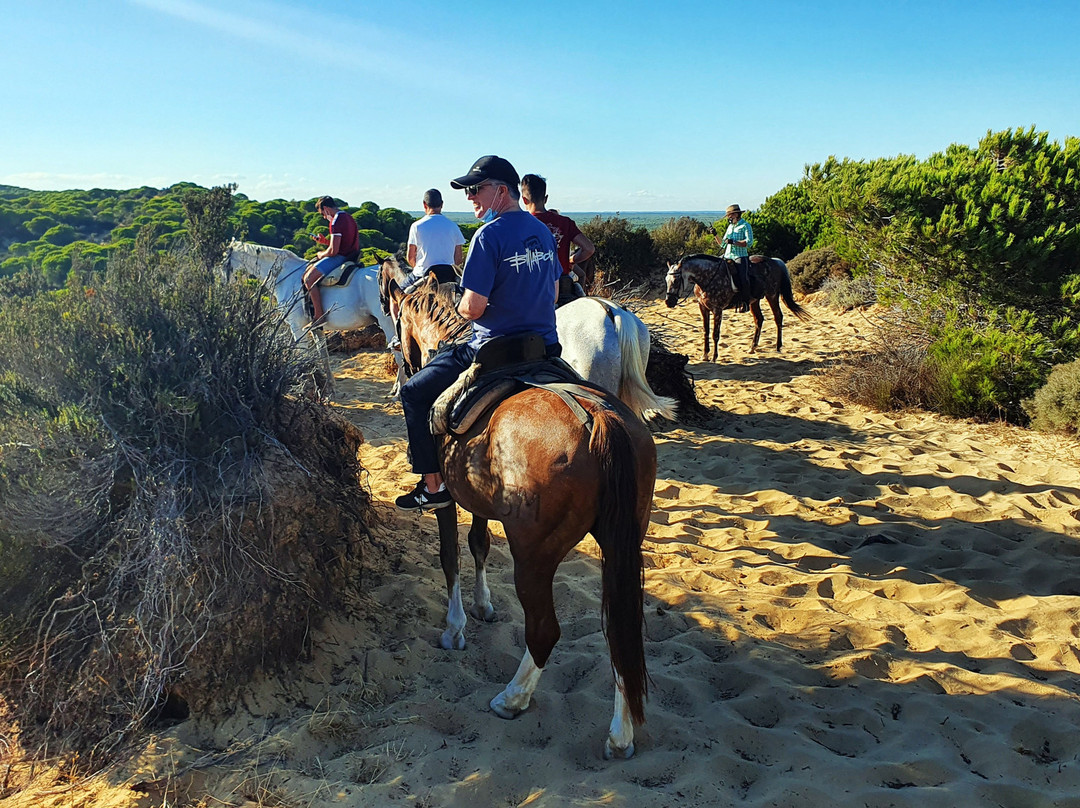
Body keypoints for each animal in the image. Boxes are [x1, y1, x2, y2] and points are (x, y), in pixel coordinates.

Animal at [223, 239, 406, 397]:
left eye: (224, 261)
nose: (222, 282)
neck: (286, 276)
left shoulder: (296, 326)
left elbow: (303, 355)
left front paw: (304, 387)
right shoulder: (316, 328)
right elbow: (323, 355)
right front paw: (330, 388)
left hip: (387, 324)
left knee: (399, 354)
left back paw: (398, 391)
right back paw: (396, 388)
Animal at [388, 276, 656, 756]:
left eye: (398, 318)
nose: (398, 364)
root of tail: (601, 418)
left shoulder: (447, 502)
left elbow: (450, 558)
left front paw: (455, 628)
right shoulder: (477, 501)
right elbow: (477, 545)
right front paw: (483, 606)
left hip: (534, 556)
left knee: (545, 630)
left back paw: (512, 698)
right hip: (621, 546)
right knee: (620, 629)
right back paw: (621, 733)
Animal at [660, 253, 807, 358]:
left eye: (676, 280)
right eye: (666, 279)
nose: (669, 302)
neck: (707, 277)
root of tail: (775, 261)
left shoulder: (717, 309)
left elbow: (715, 334)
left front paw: (714, 357)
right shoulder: (703, 308)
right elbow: (706, 331)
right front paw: (705, 355)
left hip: (772, 295)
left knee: (778, 317)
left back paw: (778, 347)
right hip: (754, 301)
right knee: (759, 319)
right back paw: (752, 347)